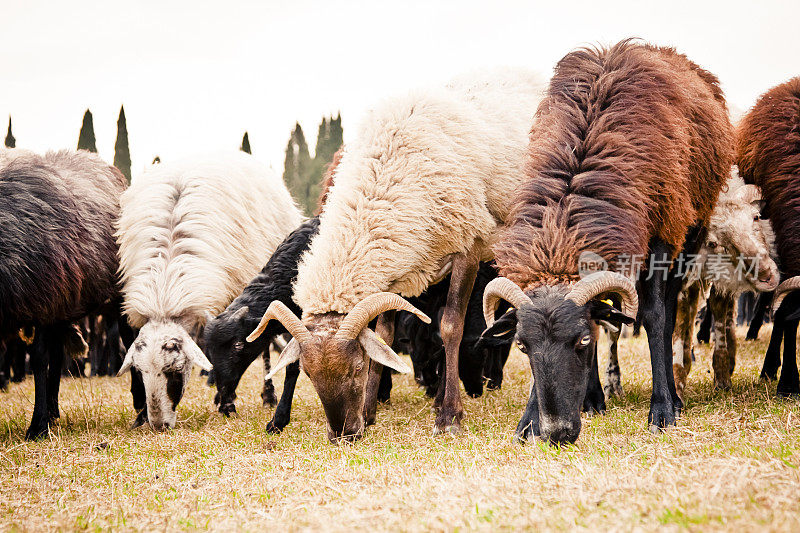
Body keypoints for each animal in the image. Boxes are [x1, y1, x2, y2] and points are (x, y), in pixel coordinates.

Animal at [113, 150, 300, 428]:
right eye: (139, 371)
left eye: (174, 370)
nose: (159, 425)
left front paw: (228, 403)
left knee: (264, 344)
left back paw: (266, 395)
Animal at [478, 39, 736, 442]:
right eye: (521, 345)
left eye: (582, 340)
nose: (559, 432)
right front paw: (531, 420)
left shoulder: (662, 233)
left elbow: (655, 316)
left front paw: (663, 409)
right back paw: (595, 398)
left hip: (691, 235)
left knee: (669, 309)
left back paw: (674, 395)